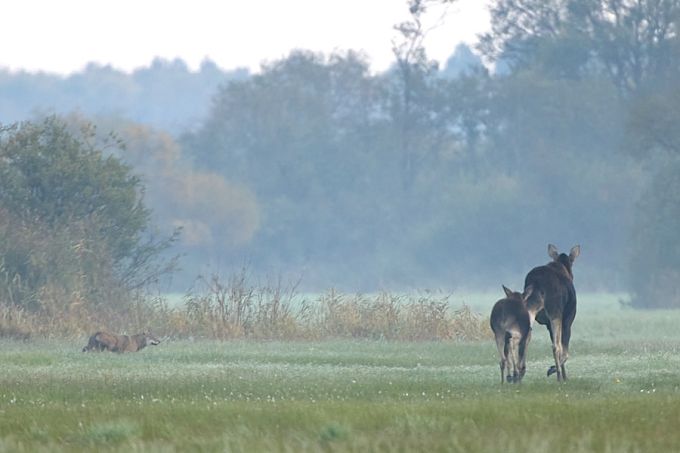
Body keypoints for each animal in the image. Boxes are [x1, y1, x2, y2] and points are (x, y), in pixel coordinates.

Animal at [524, 244, 580, 382]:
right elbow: (563, 349)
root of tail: (536, 283)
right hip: (556, 313)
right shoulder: (567, 319)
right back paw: (558, 376)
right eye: (572, 262)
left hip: (529, 311)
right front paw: (557, 372)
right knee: (556, 346)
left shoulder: (548, 324)